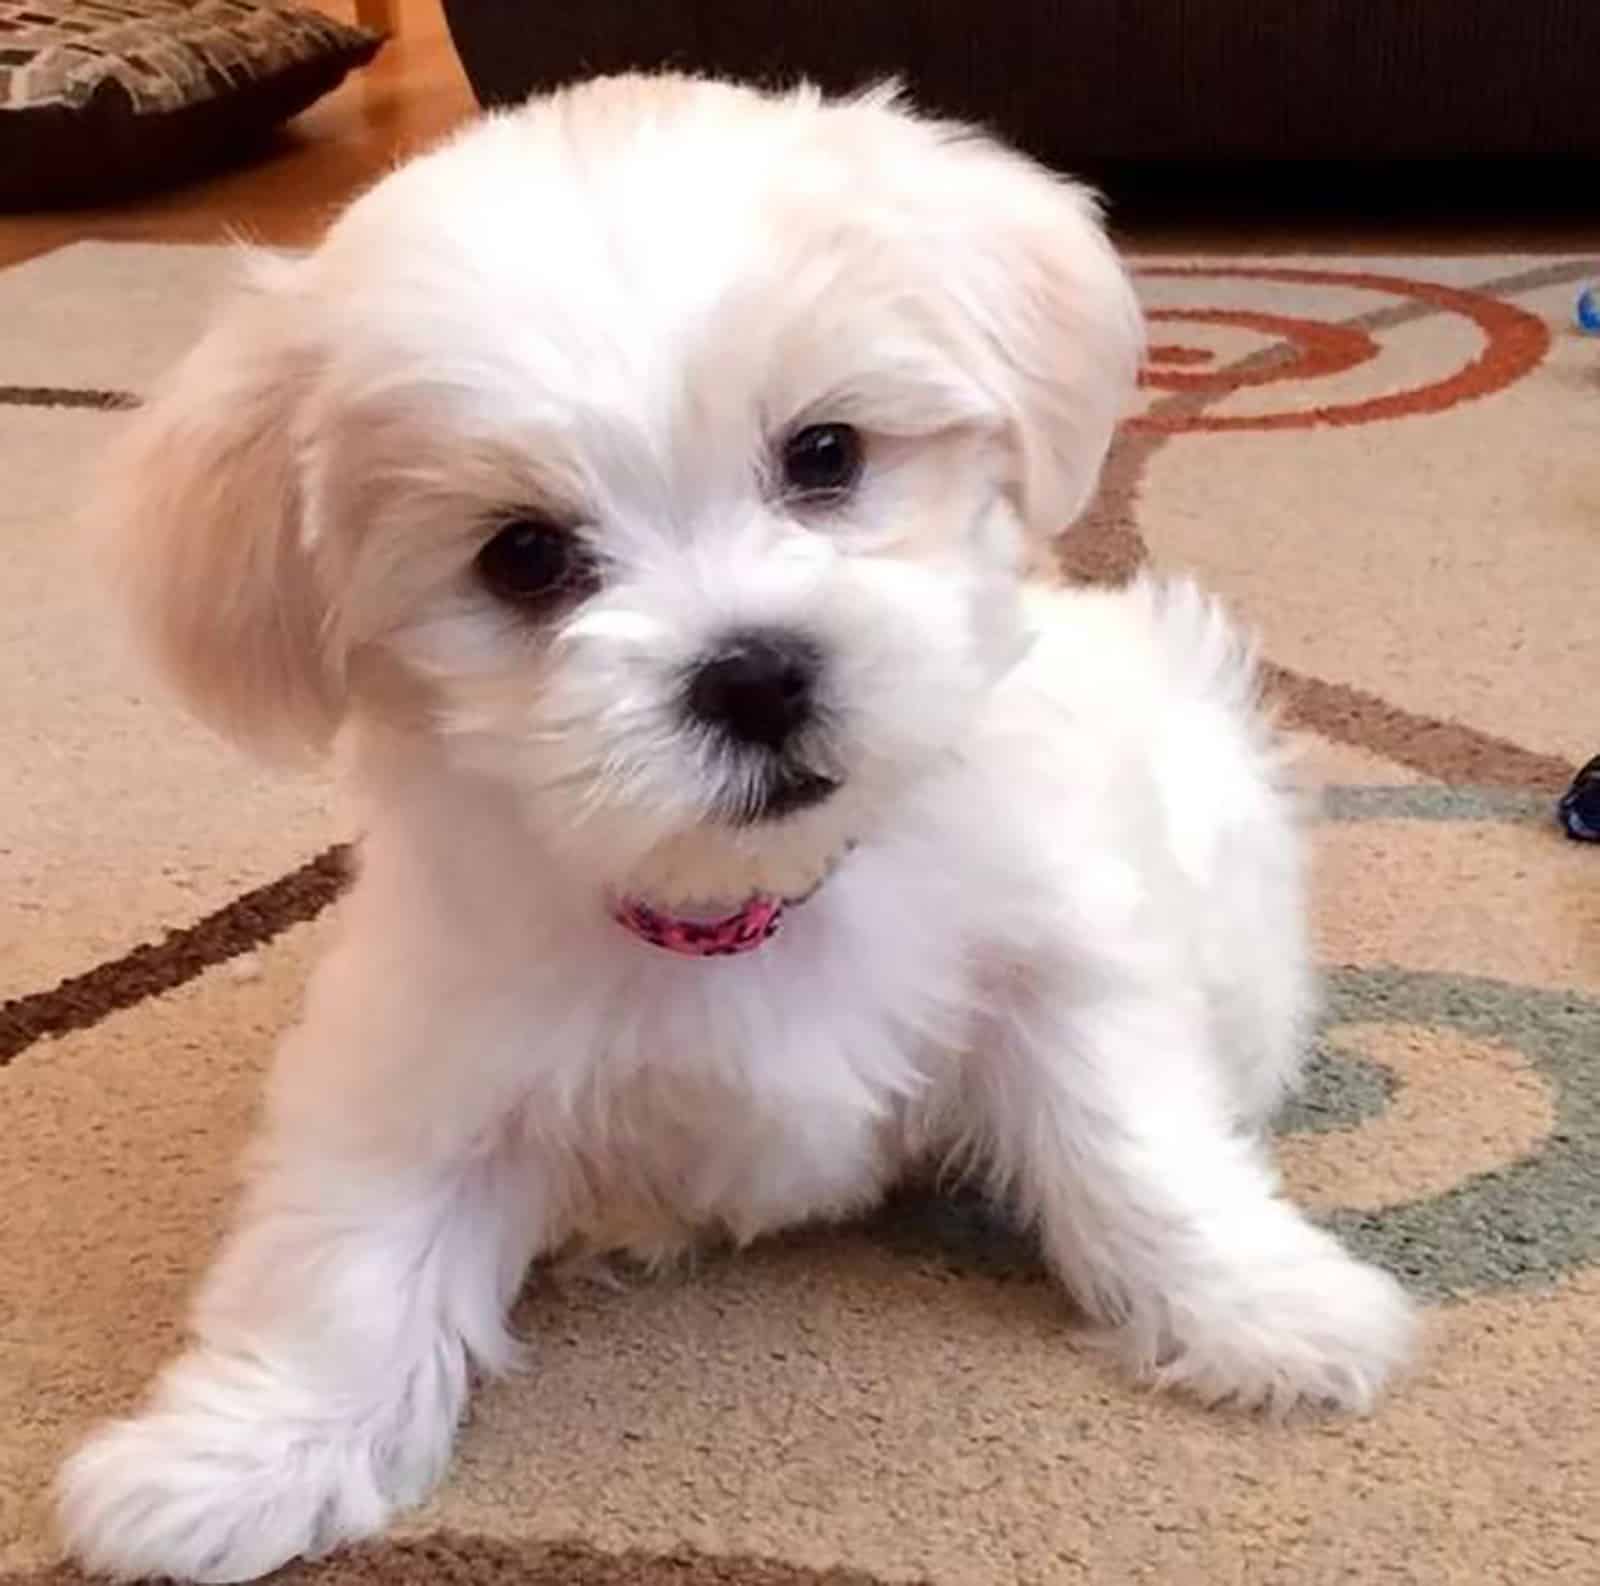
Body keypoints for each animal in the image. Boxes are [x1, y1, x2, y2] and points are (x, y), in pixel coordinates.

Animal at [59, 77, 1414, 1586]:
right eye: (522, 555)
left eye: (824, 453)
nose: (756, 674)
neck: (744, 896)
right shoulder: (423, 1054)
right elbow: (347, 1257)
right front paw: (235, 1459)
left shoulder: (1056, 953)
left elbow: (1130, 1131)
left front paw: (1264, 1301)